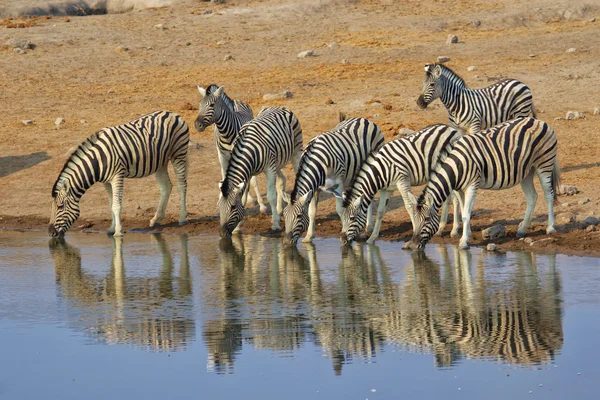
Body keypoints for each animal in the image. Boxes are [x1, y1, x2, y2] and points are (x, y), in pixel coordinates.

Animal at [48, 110, 189, 238]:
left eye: (60, 206)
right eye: (53, 207)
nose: (50, 233)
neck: (98, 160)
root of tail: (172, 113)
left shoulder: (117, 176)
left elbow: (116, 205)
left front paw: (118, 232)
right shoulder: (106, 181)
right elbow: (111, 205)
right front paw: (111, 228)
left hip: (179, 153)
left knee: (181, 185)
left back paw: (182, 218)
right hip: (160, 162)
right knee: (166, 187)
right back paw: (156, 219)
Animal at [195, 84, 264, 212]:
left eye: (212, 105)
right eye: (199, 105)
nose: (197, 125)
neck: (227, 134)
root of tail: (236, 101)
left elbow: (252, 181)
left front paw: (261, 205)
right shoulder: (222, 155)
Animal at [218, 106, 302, 238]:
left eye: (232, 207)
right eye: (219, 206)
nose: (222, 234)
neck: (247, 151)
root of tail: (278, 106)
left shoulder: (269, 168)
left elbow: (271, 196)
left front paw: (275, 224)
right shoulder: (248, 174)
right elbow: (243, 199)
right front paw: (238, 226)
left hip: (295, 152)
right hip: (277, 162)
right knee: (281, 180)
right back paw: (278, 210)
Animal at [282, 117, 384, 245]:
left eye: (299, 216)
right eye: (284, 215)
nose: (286, 242)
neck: (318, 164)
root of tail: (363, 119)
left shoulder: (338, 183)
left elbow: (340, 210)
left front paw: (345, 235)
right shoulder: (315, 187)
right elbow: (312, 211)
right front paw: (309, 236)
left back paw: (369, 227)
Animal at [406, 117, 560, 252]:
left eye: (426, 219)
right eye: (415, 219)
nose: (413, 246)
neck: (457, 166)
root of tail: (539, 121)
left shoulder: (472, 185)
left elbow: (466, 214)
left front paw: (463, 242)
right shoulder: (460, 189)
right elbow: (464, 210)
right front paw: (467, 233)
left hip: (544, 164)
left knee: (549, 195)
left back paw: (550, 228)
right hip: (527, 171)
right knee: (532, 197)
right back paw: (522, 230)